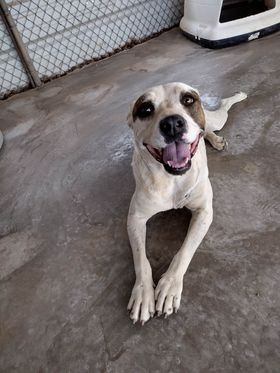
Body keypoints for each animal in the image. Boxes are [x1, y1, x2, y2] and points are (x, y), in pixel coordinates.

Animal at [126, 83, 246, 324]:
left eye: (188, 100)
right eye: (145, 109)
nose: (172, 123)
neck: (172, 179)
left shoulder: (204, 212)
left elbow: (184, 251)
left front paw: (170, 285)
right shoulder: (135, 218)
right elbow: (140, 258)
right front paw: (143, 293)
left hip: (217, 119)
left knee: (219, 113)